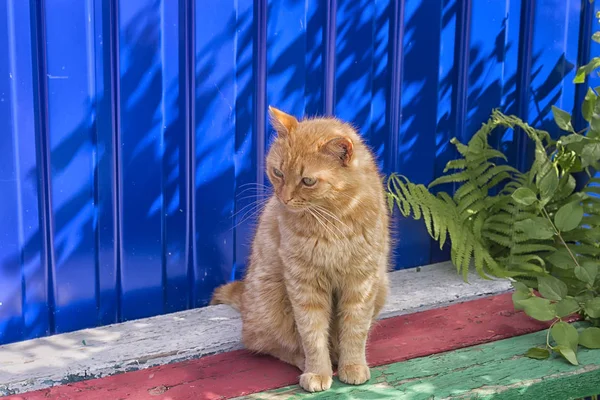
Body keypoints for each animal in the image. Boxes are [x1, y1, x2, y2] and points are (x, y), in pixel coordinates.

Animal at [211, 106, 390, 390]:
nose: (283, 198)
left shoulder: (361, 282)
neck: (331, 219)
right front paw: (317, 371)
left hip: (381, 286)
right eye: (278, 173)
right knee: (265, 343)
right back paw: (304, 360)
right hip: (271, 302)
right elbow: (312, 334)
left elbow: (355, 328)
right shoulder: (305, 285)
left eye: (307, 181)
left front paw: (353, 365)